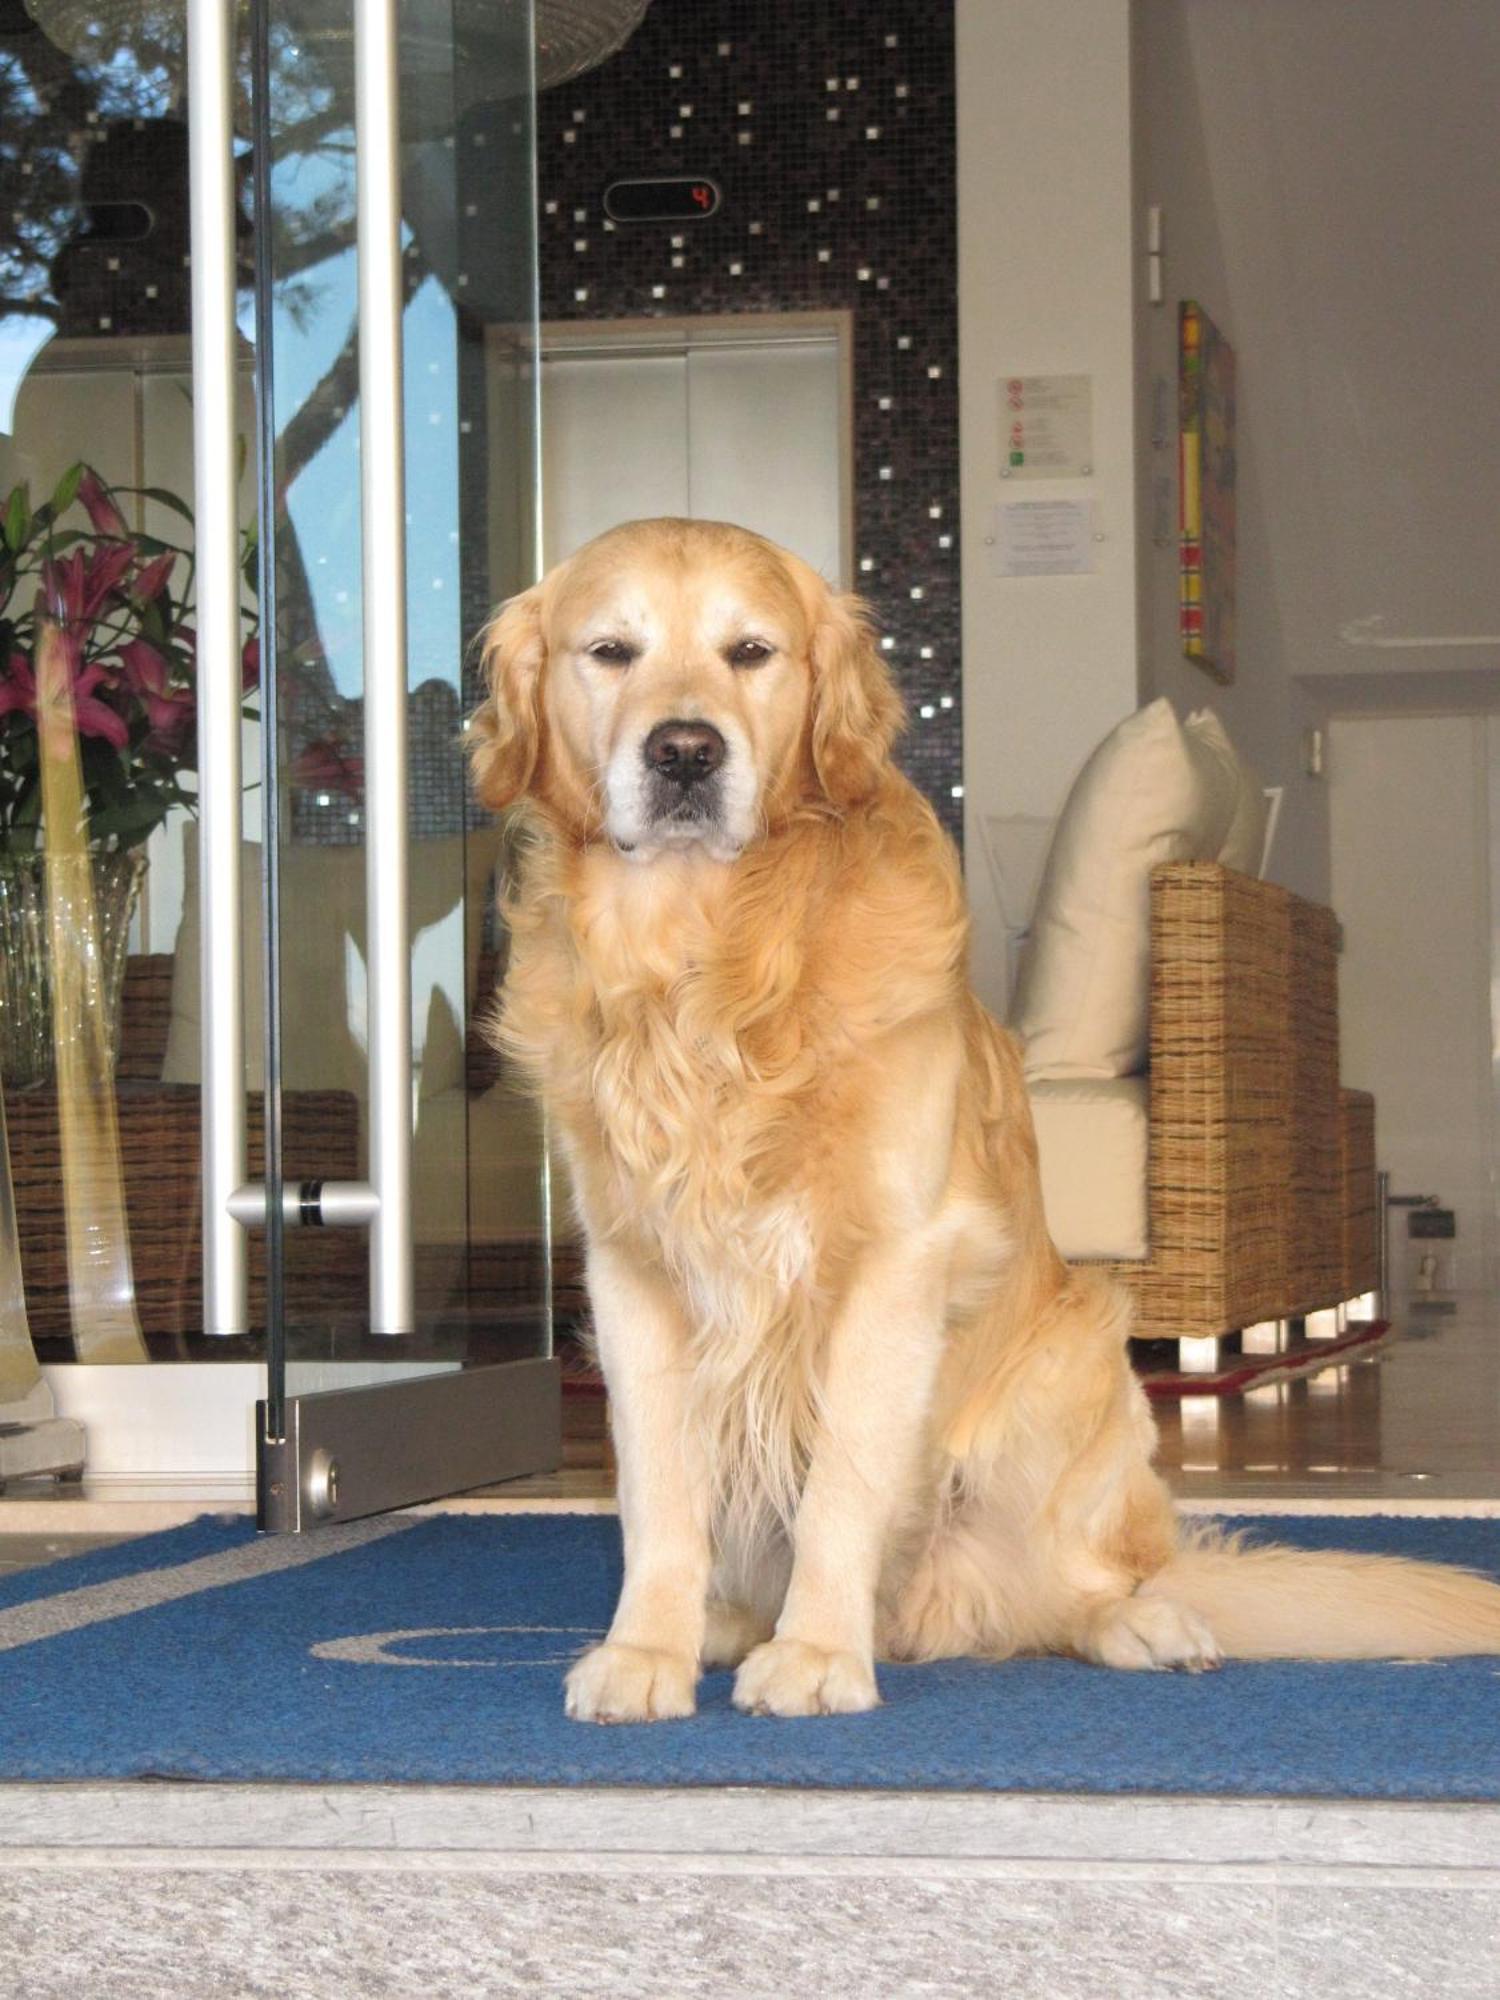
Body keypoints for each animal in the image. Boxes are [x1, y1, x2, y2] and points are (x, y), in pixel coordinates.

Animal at [476, 516, 1500, 1720]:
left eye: (750, 652)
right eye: (611, 651)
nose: (685, 752)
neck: (712, 966)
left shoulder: (895, 1259)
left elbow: (843, 1482)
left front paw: (815, 1653)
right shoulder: (631, 1270)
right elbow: (654, 1493)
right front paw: (646, 1650)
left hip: (1069, 1381)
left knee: (1089, 1582)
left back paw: (1138, 1622)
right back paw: (730, 1624)